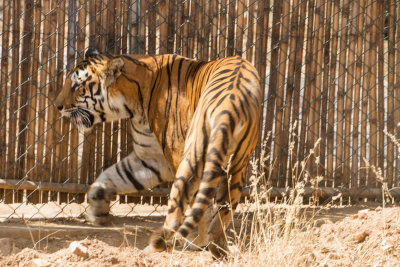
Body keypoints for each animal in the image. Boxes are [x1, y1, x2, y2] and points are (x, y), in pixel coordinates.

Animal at [54, 48, 264, 260]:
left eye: (77, 86)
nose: (57, 106)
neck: (133, 100)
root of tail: (230, 101)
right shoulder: (151, 158)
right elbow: (110, 177)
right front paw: (98, 211)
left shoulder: (170, 155)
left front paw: (196, 242)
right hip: (237, 165)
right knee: (224, 209)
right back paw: (218, 247)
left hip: (191, 158)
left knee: (185, 206)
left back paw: (168, 245)